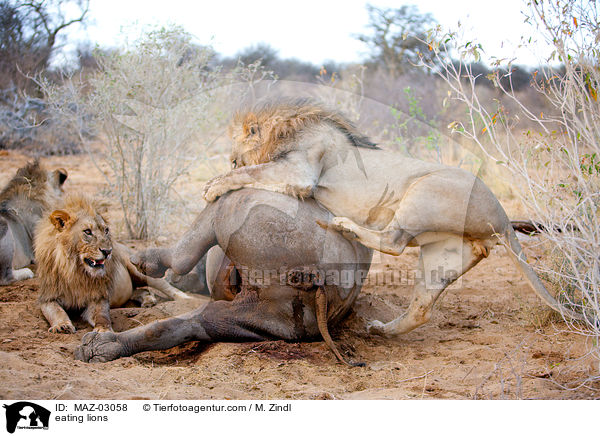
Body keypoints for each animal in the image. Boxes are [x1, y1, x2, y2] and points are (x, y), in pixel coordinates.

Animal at [35, 192, 190, 332]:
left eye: (106, 230)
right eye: (87, 231)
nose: (108, 251)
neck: (75, 271)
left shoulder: (99, 296)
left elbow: (101, 315)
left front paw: (103, 330)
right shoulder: (47, 297)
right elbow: (56, 311)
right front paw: (62, 325)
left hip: (139, 270)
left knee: (166, 286)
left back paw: (185, 299)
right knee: (140, 290)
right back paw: (148, 301)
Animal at [203, 99, 580, 338]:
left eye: (233, 158)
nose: (228, 162)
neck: (287, 131)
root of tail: (502, 216)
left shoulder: (300, 172)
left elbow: (253, 172)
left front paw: (211, 186)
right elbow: (255, 171)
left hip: (423, 193)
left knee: (394, 242)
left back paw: (344, 225)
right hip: (442, 254)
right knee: (421, 308)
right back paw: (380, 330)